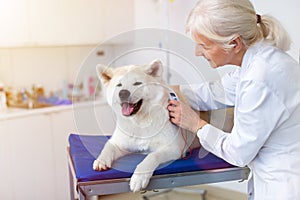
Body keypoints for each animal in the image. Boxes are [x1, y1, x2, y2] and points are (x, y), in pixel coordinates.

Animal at [92, 59, 198, 192]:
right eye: (119, 85)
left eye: (137, 83)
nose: (123, 93)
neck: (140, 122)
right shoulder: (119, 144)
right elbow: (108, 147)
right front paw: (101, 160)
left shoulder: (174, 149)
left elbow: (152, 156)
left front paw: (139, 177)